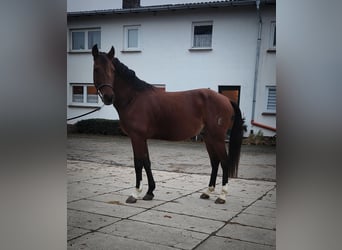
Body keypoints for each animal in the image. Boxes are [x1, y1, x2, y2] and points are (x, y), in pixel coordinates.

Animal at [92, 45, 244, 204]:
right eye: (96, 69)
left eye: (113, 70)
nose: (108, 97)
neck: (133, 98)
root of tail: (226, 100)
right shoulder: (142, 138)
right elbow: (146, 162)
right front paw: (150, 192)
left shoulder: (136, 137)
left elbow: (138, 163)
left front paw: (135, 193)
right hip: (208, 137)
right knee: (215, 162)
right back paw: (207, 192)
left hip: (217, 137)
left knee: (224, 162)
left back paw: (222, 196)